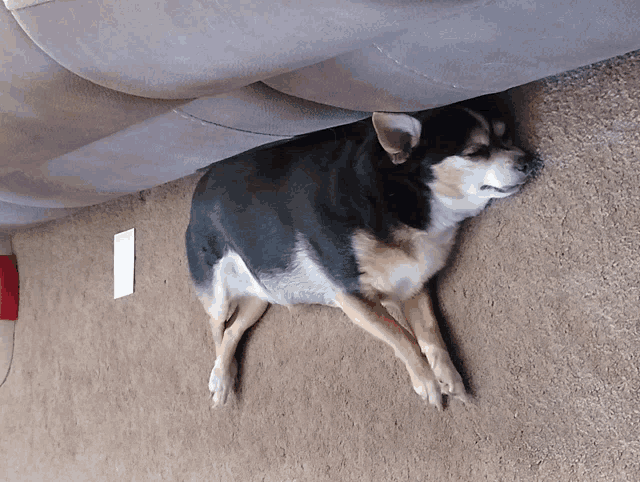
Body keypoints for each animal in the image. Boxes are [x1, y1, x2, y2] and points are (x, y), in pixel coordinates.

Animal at [185, 104, 540, 410]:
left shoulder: (411, 286)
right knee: (217, 329)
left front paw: (448, 377)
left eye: (506, 135)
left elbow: (430, 336)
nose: (529, 159)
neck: (401, 198)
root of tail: (198, 191)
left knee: (233, 330)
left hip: (261, 296)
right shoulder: (352, 298)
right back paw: (220, 378)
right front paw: (426, 382)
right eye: (475, 152)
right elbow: (402, 339)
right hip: (217, 293)